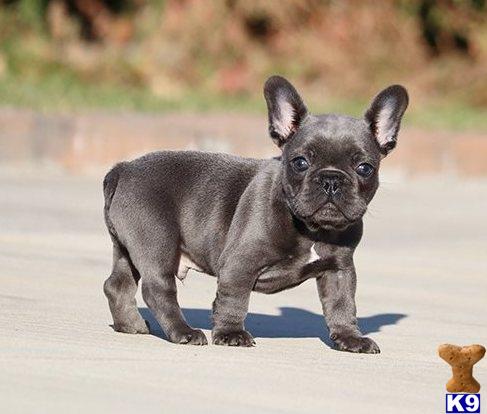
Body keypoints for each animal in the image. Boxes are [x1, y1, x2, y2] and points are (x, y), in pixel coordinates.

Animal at [105, 75, 410, 352]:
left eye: (365, 168)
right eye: (300, 162)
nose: (331, 179)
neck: (311, 228)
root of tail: (124, 168)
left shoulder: (339, 270)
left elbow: (343, 305)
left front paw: (350, 338)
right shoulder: (239, 263)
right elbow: (234, 299)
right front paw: (231, 334)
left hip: (129, 246)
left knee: (118, 284)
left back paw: (131, 326)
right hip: (156, 240)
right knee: (158, 288)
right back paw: (184, 332)